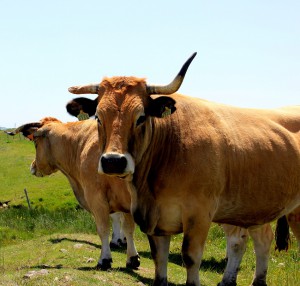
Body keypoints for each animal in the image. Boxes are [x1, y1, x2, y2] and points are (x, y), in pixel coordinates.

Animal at [6, 118, 141, 270]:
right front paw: (132, 258)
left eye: (35, 143)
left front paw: (105, 259)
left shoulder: (96, 197)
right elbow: (129, 228)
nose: (32, 166)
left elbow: (103, 228)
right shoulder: (125, 202)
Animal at [66, 53, 300, 286]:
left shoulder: (199, 214)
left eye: (141, 117)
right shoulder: (154, 219)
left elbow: (190, 256)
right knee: (262, 240)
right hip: (254, 209)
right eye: (98, 117)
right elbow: (159, 260)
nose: (113, 161)